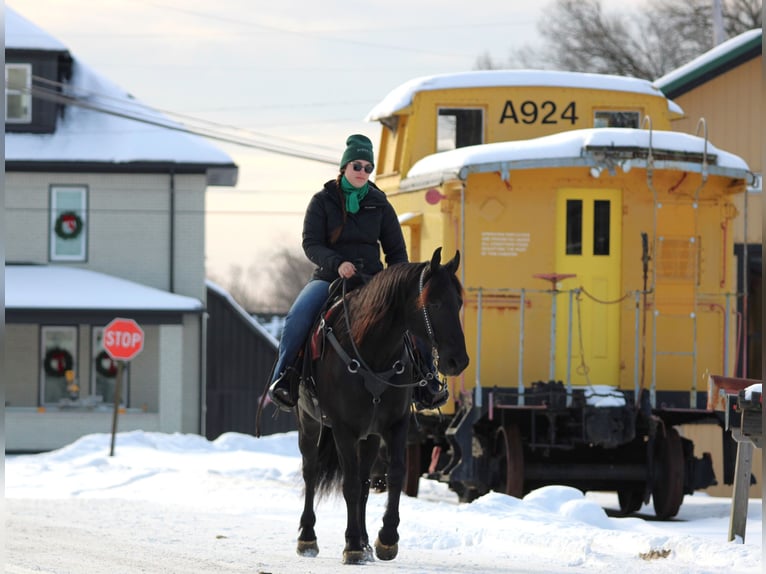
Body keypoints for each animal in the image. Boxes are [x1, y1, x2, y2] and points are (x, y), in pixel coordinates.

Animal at [294, 247, 469, 564]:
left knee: (365, 482)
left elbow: (394, 475)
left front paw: (385, 539)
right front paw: (351, 544)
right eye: (434, 303)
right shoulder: (344, 429)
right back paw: (308, 537)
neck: (373, 352)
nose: (457, 361)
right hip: (309, 422)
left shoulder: (395, 424)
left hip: (370, 436)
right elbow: (349, 483)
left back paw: (364, 542)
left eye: (459, 302)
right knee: (310, 472)